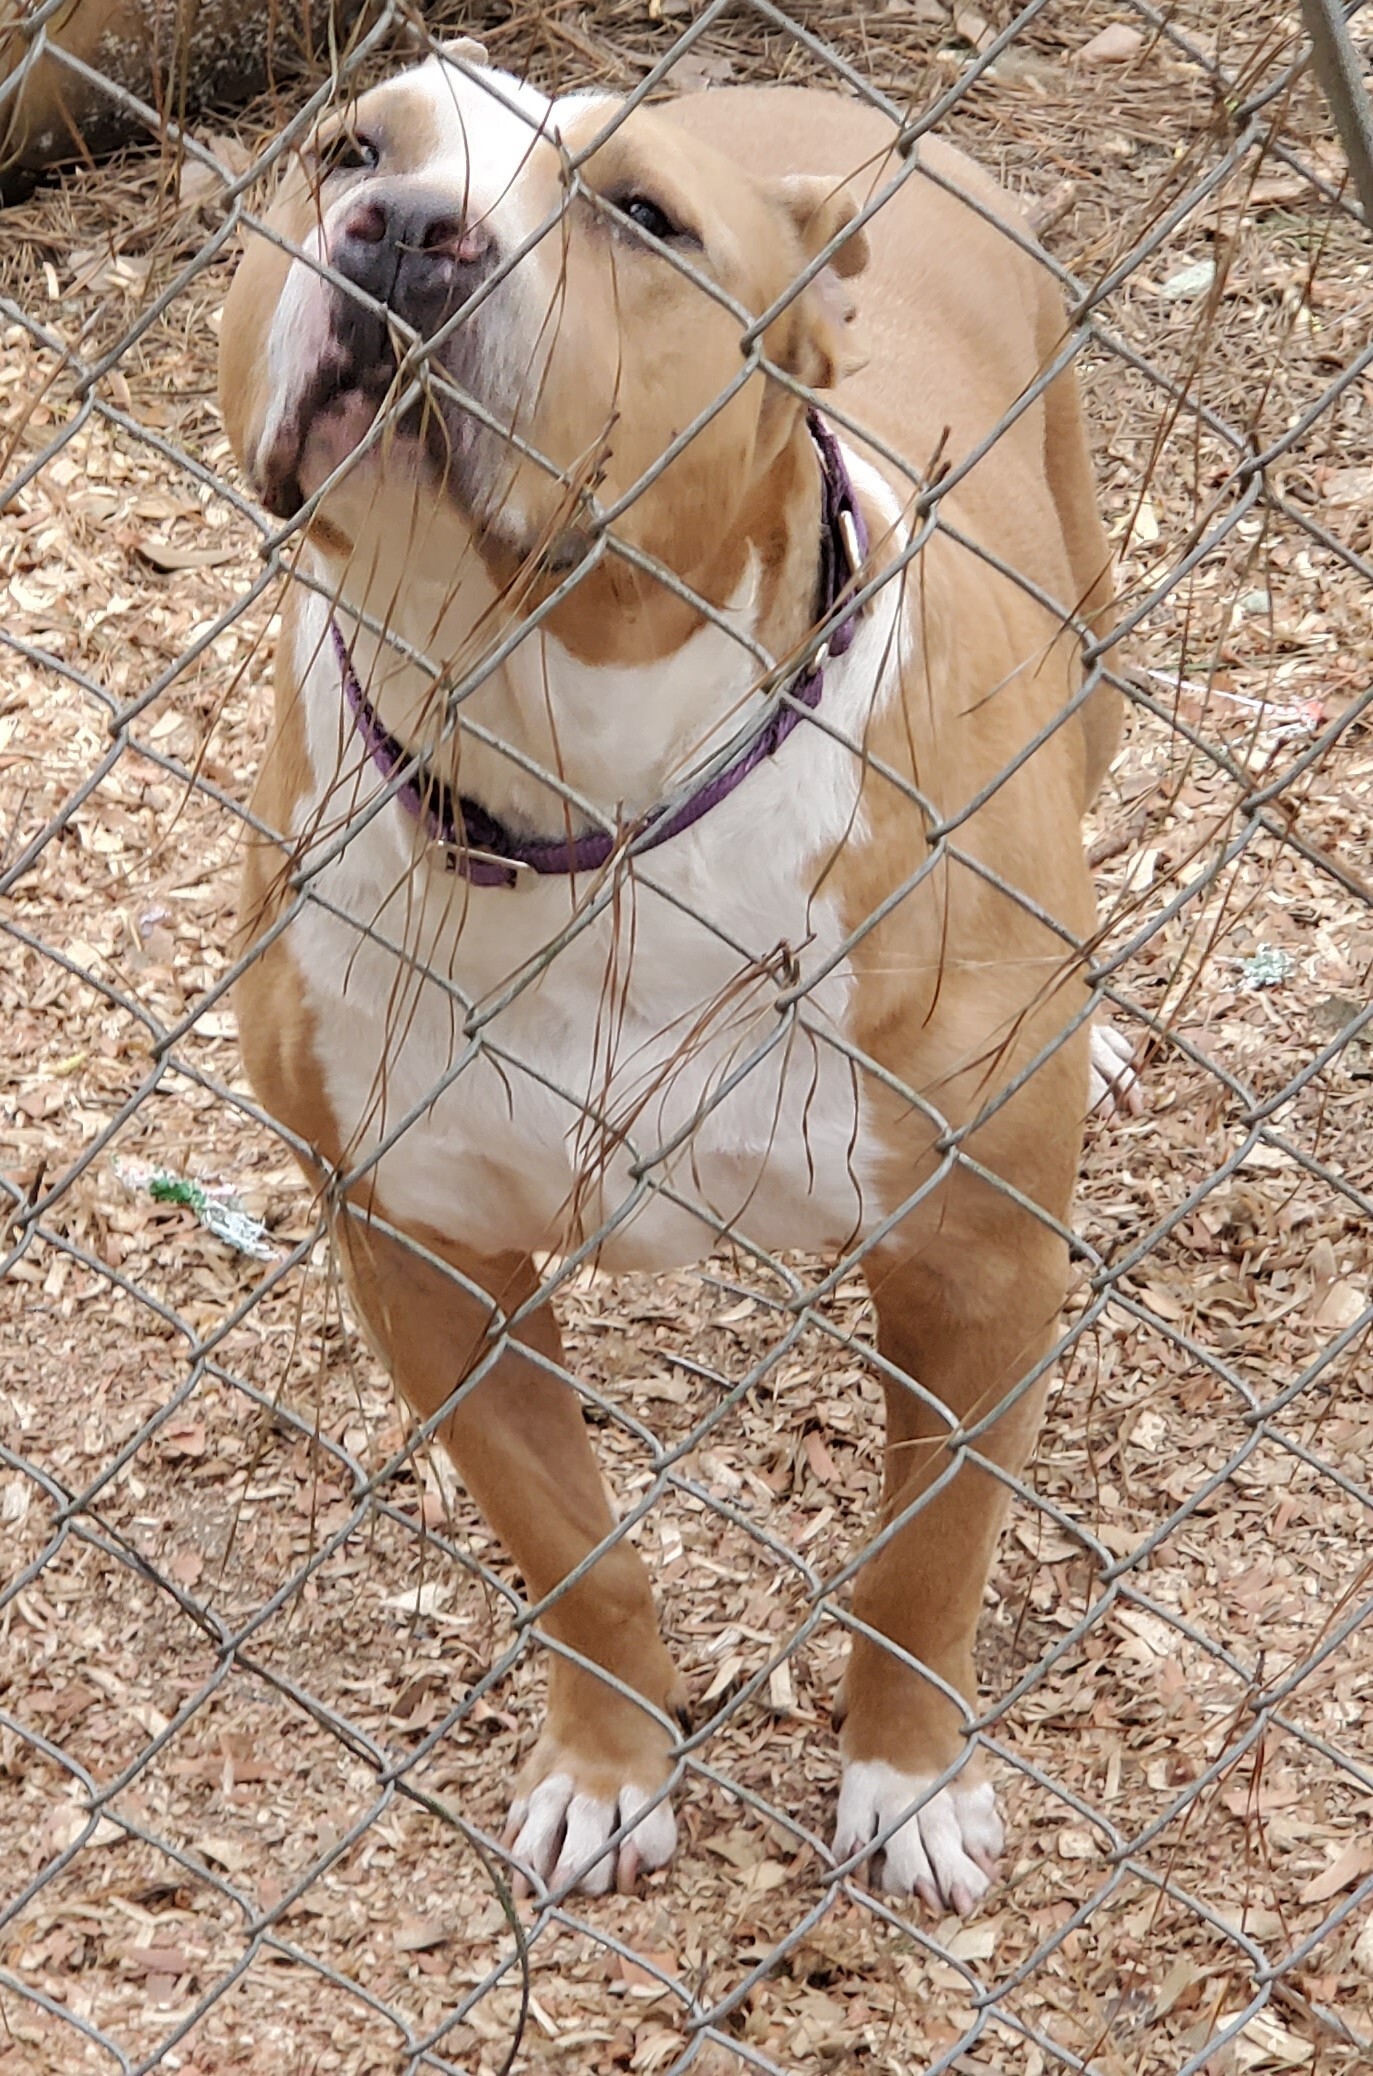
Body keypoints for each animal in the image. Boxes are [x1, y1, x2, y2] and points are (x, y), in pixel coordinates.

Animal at [219, 36, 1129, 1909]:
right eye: (349, 148)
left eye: (641, 218)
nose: (404, 228)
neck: (576, 788)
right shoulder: (420, 1248)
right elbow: (572, 1546)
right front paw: (610, 1771)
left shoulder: (980, 1265)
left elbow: (926, 1556)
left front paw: (910, 1785)